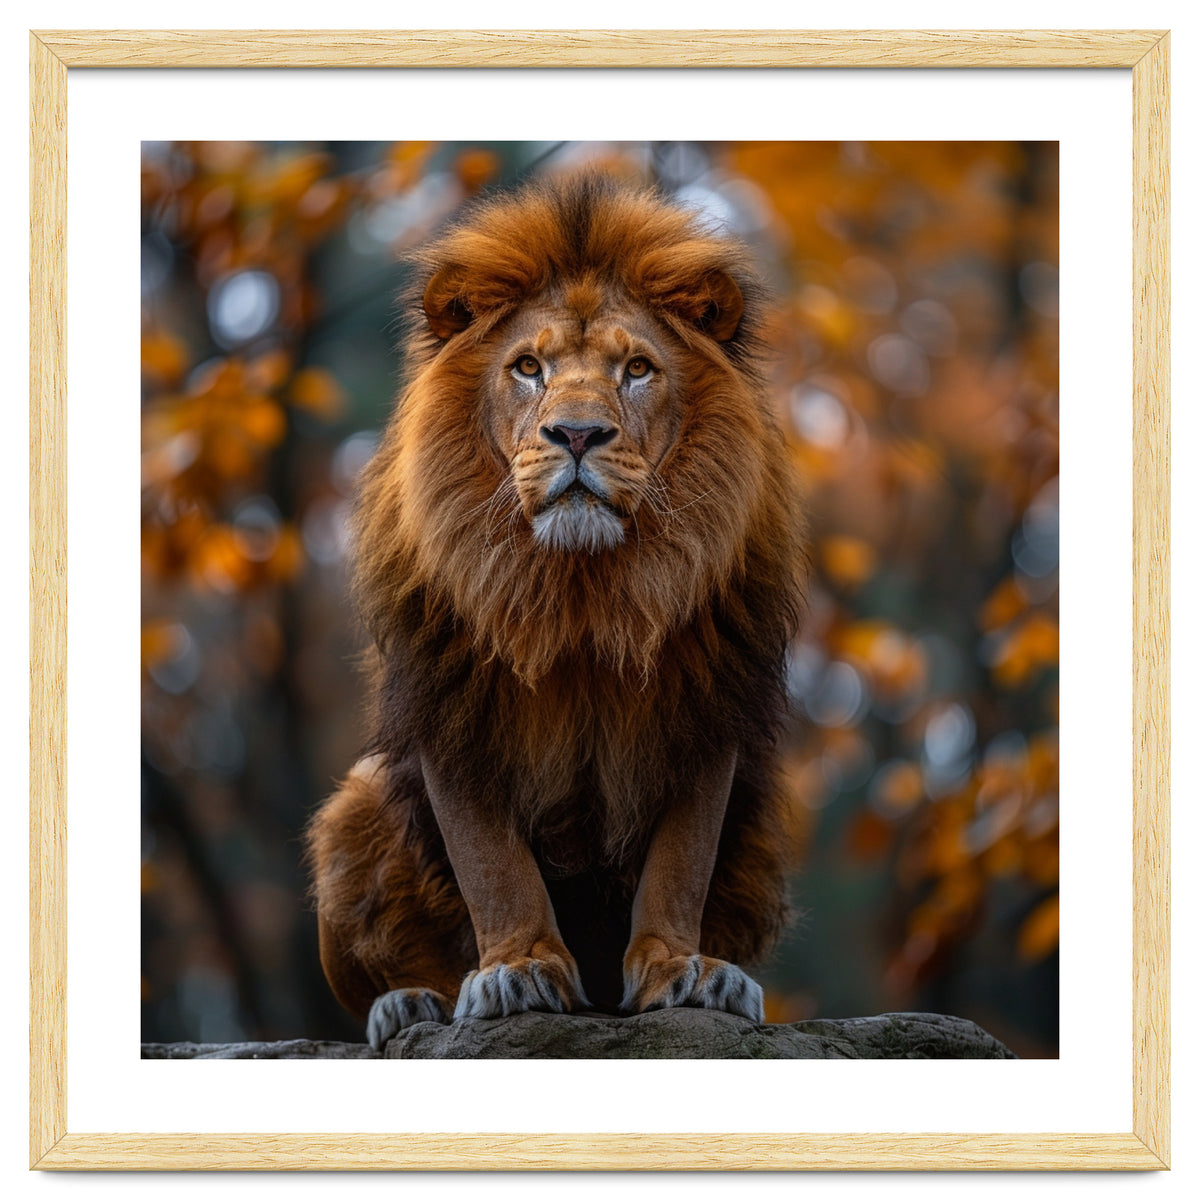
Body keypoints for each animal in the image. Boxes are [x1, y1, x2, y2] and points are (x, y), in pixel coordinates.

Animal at [307, 171, 806, 1050]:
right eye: (529, 367)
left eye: (637, 368)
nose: (576, 434)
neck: (582, 592)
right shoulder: (450, 704)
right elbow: (490, 863)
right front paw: (517, 971)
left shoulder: (708, 704)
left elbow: (681, 861)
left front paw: (683, 970)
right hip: (351, 806)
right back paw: (410, 1003)